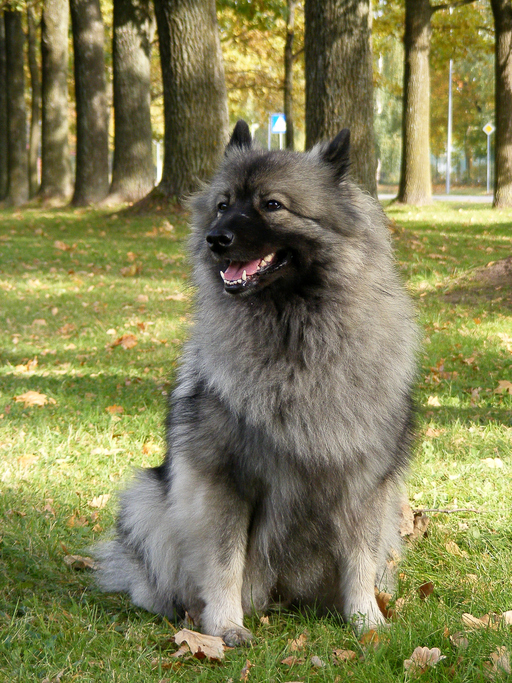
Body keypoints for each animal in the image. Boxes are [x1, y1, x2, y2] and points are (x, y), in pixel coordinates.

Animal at [96, 119, 416, 648]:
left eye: (272, 205)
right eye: (223, 204)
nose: (214, 238)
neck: (293, 337)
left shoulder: (363, 484)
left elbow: (360, 560)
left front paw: (365, 620)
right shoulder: (223, 480)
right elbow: (225, 560)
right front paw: (226, 625)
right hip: (146, 498)